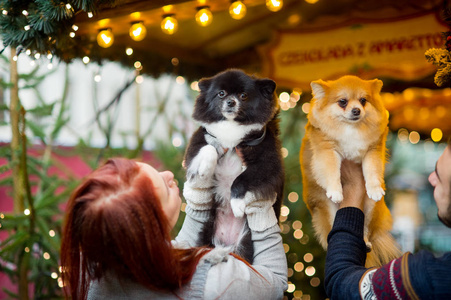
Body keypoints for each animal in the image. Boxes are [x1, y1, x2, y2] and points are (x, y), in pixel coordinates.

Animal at [183, 69, 282, 262]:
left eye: (243, 96)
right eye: (221, 93)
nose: (231, 101)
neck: (231, 129)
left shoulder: (268, 164)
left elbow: (240, 179)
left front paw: (236, 204)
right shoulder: (200, 140)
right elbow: (209, 148)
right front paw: (205, 168)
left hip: (244, 243)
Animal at [300, 75, 402, 268]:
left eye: (363, 101)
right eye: (342, 102)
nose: (356, 110)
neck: (350, 129)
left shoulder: (372, 150)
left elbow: (372, 170)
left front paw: (375, 188)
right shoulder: (327, 151)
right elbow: (331, 171)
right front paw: (335, 190)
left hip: (370, 208)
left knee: (365, 229)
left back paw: (366, 242)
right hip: (327, 209)